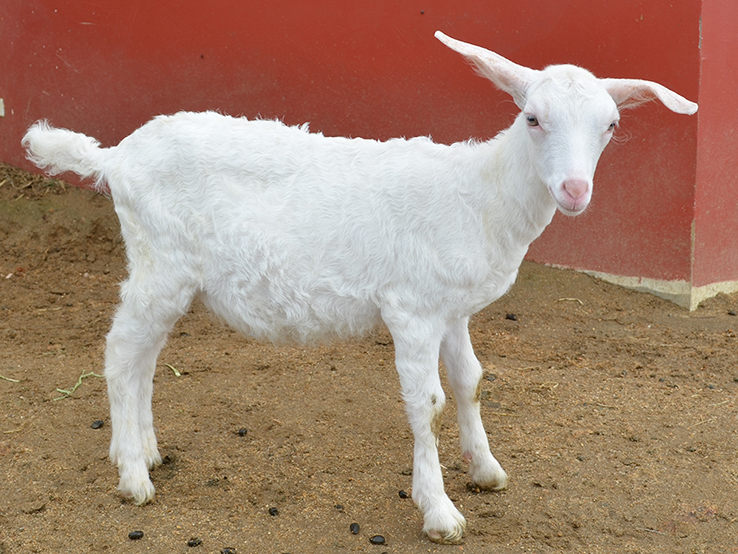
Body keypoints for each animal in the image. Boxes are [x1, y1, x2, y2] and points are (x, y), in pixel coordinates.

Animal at [21, 32, 688, 540]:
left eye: (611, 124)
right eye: (532, 118)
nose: (575, 190)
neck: (480, 195)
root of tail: (114, 158)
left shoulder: (453, 310)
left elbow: (470, 383)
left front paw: (486, 469)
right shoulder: (411, 308)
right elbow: (428, 403)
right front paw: (439, 511)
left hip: (170, 274)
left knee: (144, 360)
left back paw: (145, 451)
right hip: (161, 263)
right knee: (120, 353)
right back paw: (133, 475)